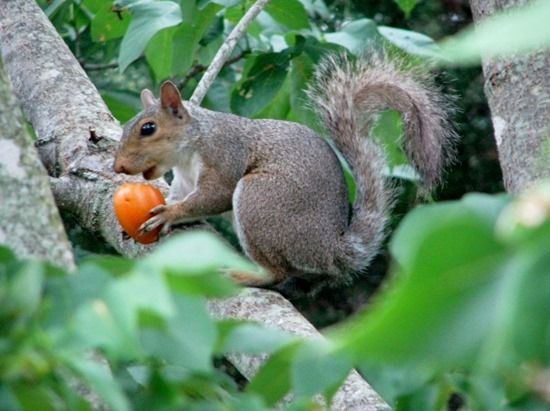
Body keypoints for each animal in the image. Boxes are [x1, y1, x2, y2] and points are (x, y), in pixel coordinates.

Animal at [113, 52, 458, 286]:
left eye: (148, 128)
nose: (118, 166)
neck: (188, 150)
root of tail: (330, 248)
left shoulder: (225, 156)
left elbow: (213, 197)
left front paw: (169, 214)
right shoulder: (184, 180)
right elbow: (184, 198)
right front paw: (164, 210)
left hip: (261, 199)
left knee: (279, 272)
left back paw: (248, 276)